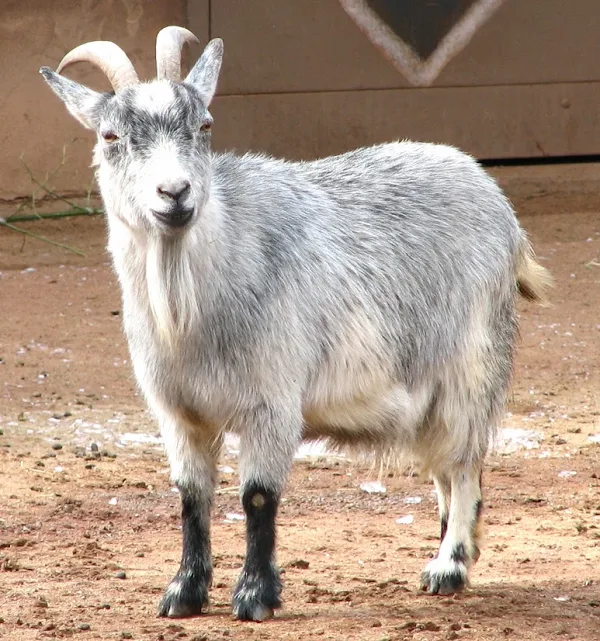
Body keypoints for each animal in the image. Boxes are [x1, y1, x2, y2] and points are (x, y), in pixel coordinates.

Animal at [40, 26, 551, 622]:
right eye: (111, 135)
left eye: (204, 126)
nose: (175, 193)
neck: (193, 316)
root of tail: (495, 198)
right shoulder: (178, 412)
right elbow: (192, 497)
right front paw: (183, 593)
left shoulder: (272, 401)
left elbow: (257, 496)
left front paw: (255, 597)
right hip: (428, 390)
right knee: (445, 469)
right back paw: (451, 555)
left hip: (473, 363)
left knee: (466, 465)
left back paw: (448, 567)